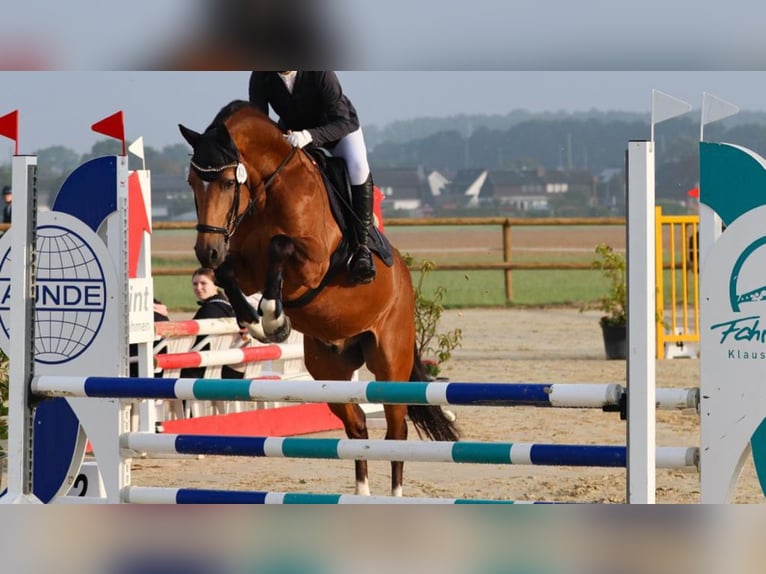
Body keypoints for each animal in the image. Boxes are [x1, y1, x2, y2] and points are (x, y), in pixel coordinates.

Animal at [178, 98, 462, 496]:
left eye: (226, 182)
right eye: (192, 182)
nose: (208, 251)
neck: (268, 192)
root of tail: (405, 282)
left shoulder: (313, 264)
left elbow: (279, 248)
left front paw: (274, 317)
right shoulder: (246, 268)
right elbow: (228, 273)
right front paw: (258, 322)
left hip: (390, 361)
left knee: (396, 430)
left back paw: (395, 494)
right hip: (329, 370)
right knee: (357, 427)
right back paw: (361, 492)